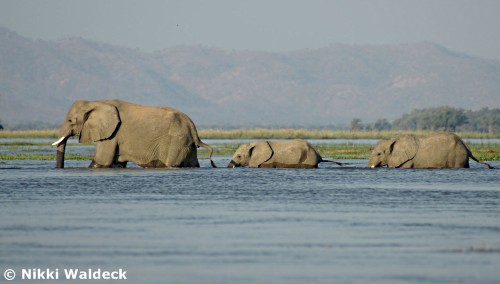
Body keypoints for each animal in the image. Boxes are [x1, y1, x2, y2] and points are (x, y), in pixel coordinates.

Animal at [51, 99, 214, 168]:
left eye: (70, 120)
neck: (95, 102)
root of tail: (192, 126)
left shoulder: (112, 134)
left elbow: (101, 162)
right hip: (186, 144)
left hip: (176, 142)